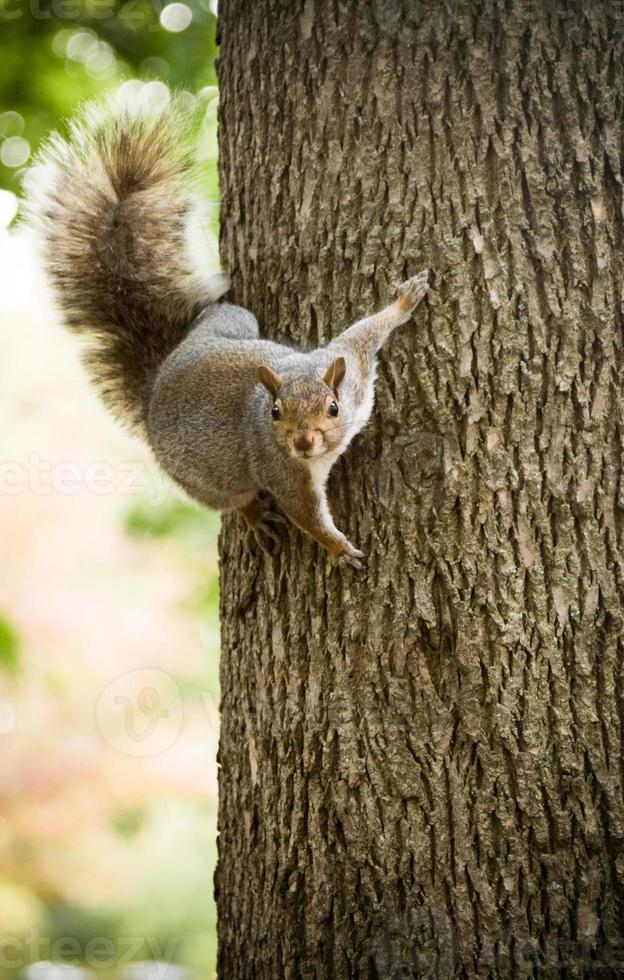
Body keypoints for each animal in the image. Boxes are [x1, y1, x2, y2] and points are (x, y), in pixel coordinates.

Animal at [26, 94, 432, 568]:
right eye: (274, 413)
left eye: (333, 408)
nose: (303, 442)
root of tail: (155, 390)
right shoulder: (282, 472)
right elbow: (306, 516)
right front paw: (340, 549)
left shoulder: (352, 362)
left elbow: (367, 329)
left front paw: (405, 301)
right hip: (207, 479)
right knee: (233, 498)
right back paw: (255, 516)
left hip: (235, 320)